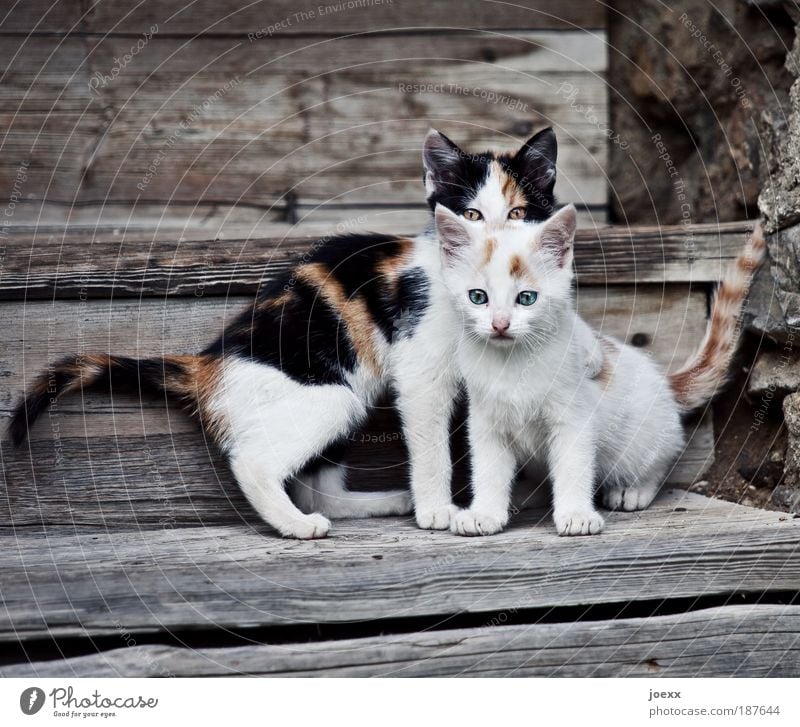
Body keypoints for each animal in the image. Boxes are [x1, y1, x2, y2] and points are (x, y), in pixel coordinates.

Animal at [9, 128, 564, 536]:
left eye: (518, 214)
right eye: (471, 215)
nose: (495, 246)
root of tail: (207, 364)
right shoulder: (420, 369)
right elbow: (431, 443)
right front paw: (437, 510)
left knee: (318, 487)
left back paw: (378, 502)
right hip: (330, 395)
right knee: (254, 462)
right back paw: (295, 524)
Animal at [434, 202, 764, 536]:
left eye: (527, 298)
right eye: (478, 297)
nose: (500, 325)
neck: (511, 363)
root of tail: (665, 384)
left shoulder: (573, 418)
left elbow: (573, 465)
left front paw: (576, 514)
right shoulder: (486, 423)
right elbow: (488, 469)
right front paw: (485, 513)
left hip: (641, 439)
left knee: (660, 459)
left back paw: (633, 489)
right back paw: (526, 495)